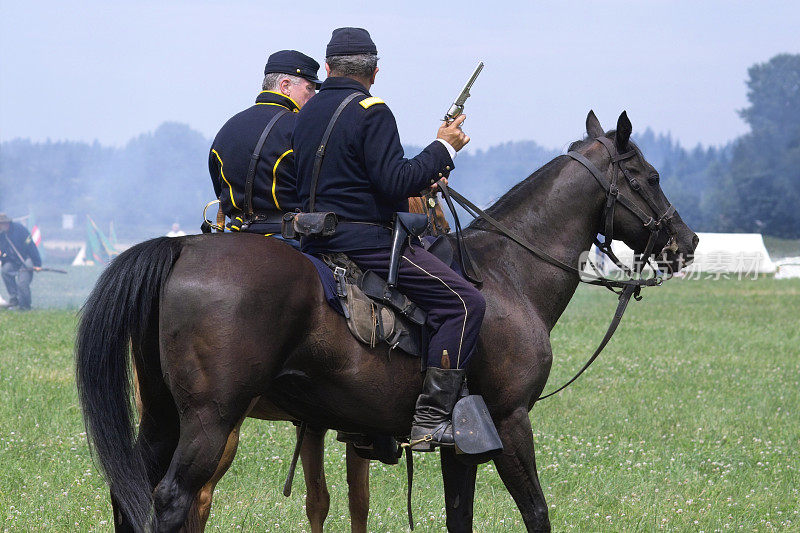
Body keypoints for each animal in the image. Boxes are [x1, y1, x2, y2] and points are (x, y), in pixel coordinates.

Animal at [78, 110, 696, 528]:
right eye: (649, 174)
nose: (685, 242)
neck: (509, 274)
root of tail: (182, 247)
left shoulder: (463, 442)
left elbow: (457, 516)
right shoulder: (510, 419)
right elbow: (536, 511)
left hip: (165, 417)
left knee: (131, 492)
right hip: (211, 421)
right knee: (174, 499)